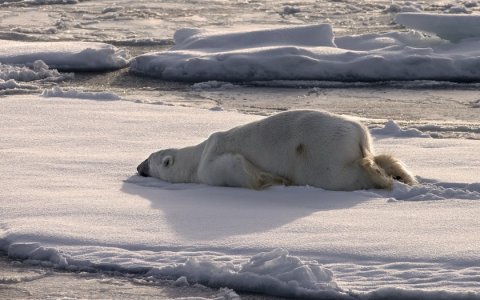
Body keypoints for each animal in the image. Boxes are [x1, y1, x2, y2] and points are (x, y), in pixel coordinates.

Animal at [136, 109, 416, 190]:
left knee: (345, 175)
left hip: (322, 155)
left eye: (151, 159)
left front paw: (274, 179)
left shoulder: (212, 165)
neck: (197, 156)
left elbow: (239, 169)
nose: (139, 167)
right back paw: (401, 174)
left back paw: (382, 178)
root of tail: (358, 133)